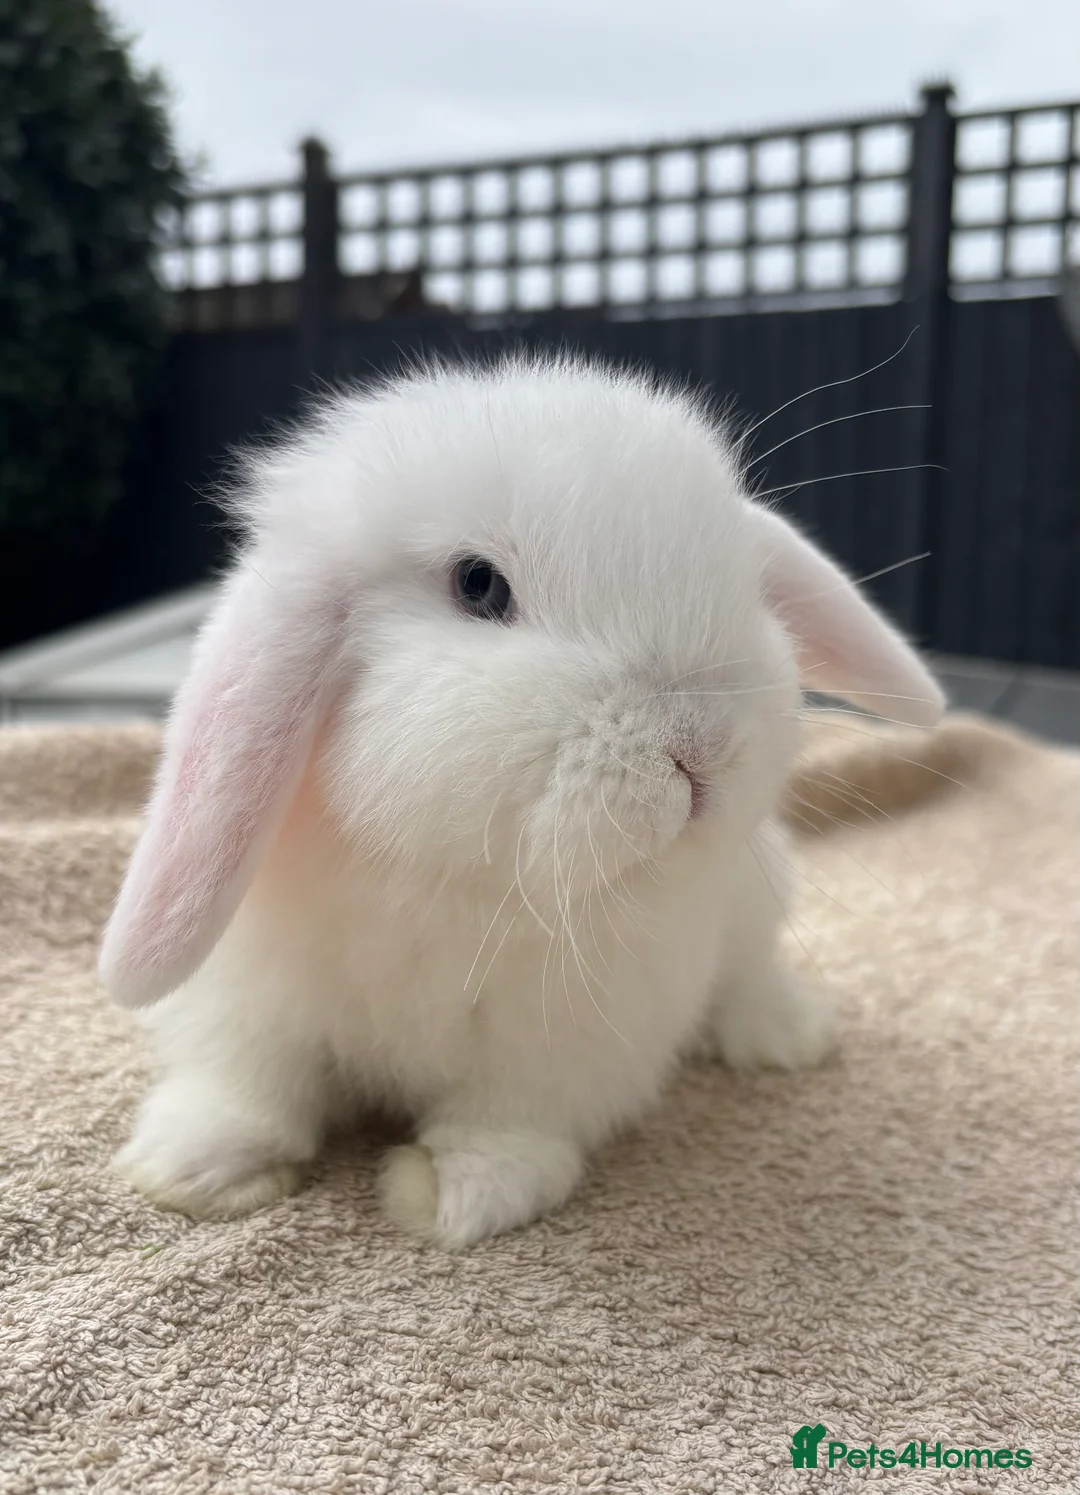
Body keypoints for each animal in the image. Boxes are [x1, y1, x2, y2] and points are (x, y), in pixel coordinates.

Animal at [98, 354, 944, 1249]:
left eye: (745, 585)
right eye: (479, 584)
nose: (703, 748)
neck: (454, 878)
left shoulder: (559, 1049)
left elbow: (509, 1125)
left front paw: (447, 1193)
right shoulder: (249, 998)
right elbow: (249, 1081)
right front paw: (195, 1169)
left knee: (750, 972)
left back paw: (787, 1035)